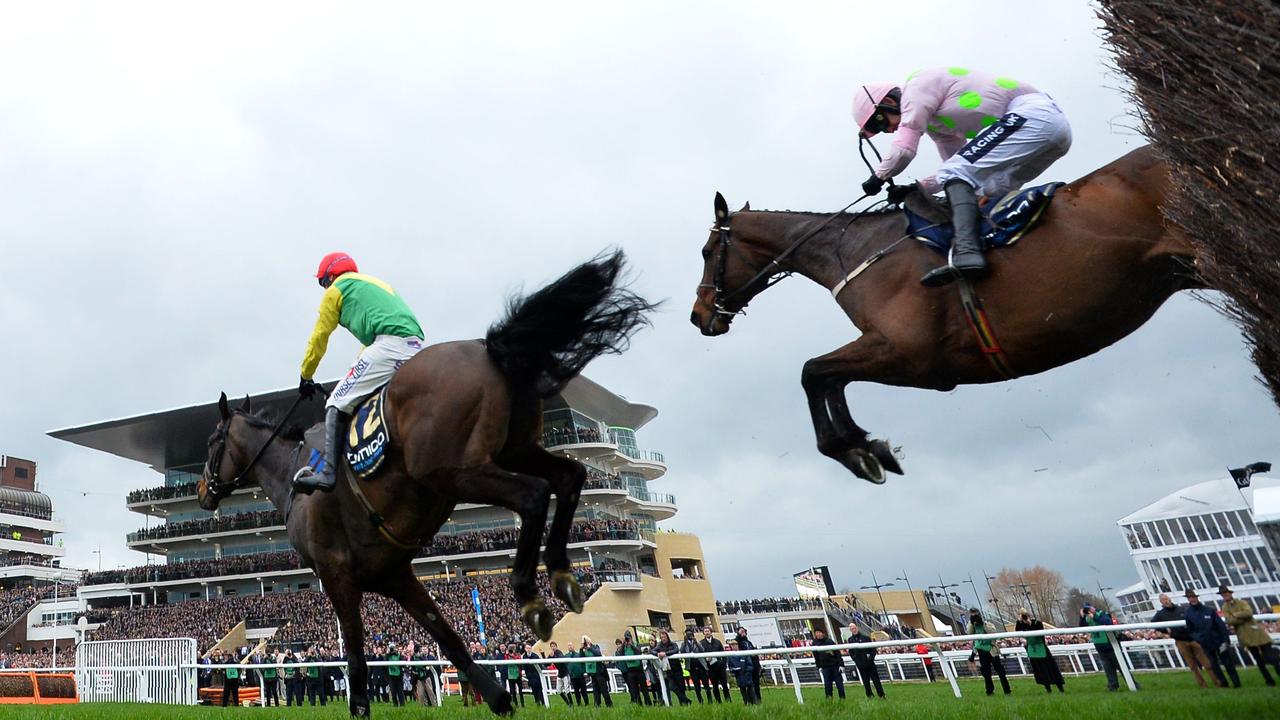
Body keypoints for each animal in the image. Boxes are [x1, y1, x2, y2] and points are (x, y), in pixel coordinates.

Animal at [202, 251, 660, 712]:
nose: (204, 490)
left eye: (211, 442)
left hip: (452, 471)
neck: (290, 475)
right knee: (571, 476)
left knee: (533, 495)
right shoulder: (395, 574)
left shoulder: (337, 575)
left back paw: (530, 594)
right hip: (514, 448)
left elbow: (356, 662)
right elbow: (450, 640)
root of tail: (489, 350)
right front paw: (498, 697)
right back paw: (562, 575)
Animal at [691, 146, 1198, 481]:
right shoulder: (895, 352)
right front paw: (866, 446)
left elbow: (812, 371)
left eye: (706, 251)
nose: (699, 315)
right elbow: (826, 376)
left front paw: (857, 451)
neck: (857, 249)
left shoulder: (913, 355)